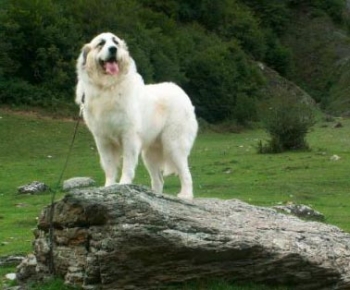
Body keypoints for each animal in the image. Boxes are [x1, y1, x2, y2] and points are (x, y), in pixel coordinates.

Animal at [75, 31, 198, 199]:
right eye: (101, 43)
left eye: (115, 42)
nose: (113, 49)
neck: (108, 87)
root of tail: (181, 92)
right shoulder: (103, 140)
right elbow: (109, 166)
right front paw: (108, 187)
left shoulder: (129, 136)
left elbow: (127, 164)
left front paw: (123, 184)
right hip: (150, 153)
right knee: (158, 180)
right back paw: (155, 196)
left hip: (173, 144)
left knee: (186, 174)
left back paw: (185, 195)